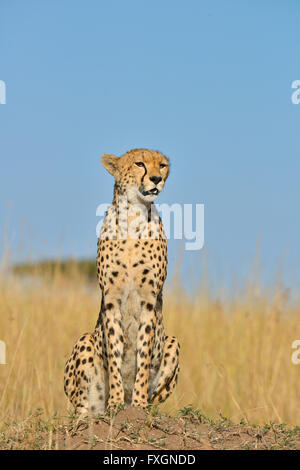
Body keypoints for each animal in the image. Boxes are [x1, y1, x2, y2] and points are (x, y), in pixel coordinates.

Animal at [64, 148, 179, 414]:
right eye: (139, 164)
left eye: (162, 165)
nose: (157, 179)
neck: (134, 215)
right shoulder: (111, 300)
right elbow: (115, 352)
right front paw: (115, 402)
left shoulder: (149, 302)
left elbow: (143, 356)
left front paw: (138, 403)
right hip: (85, 342)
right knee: (82, 408)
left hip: (172, 342)